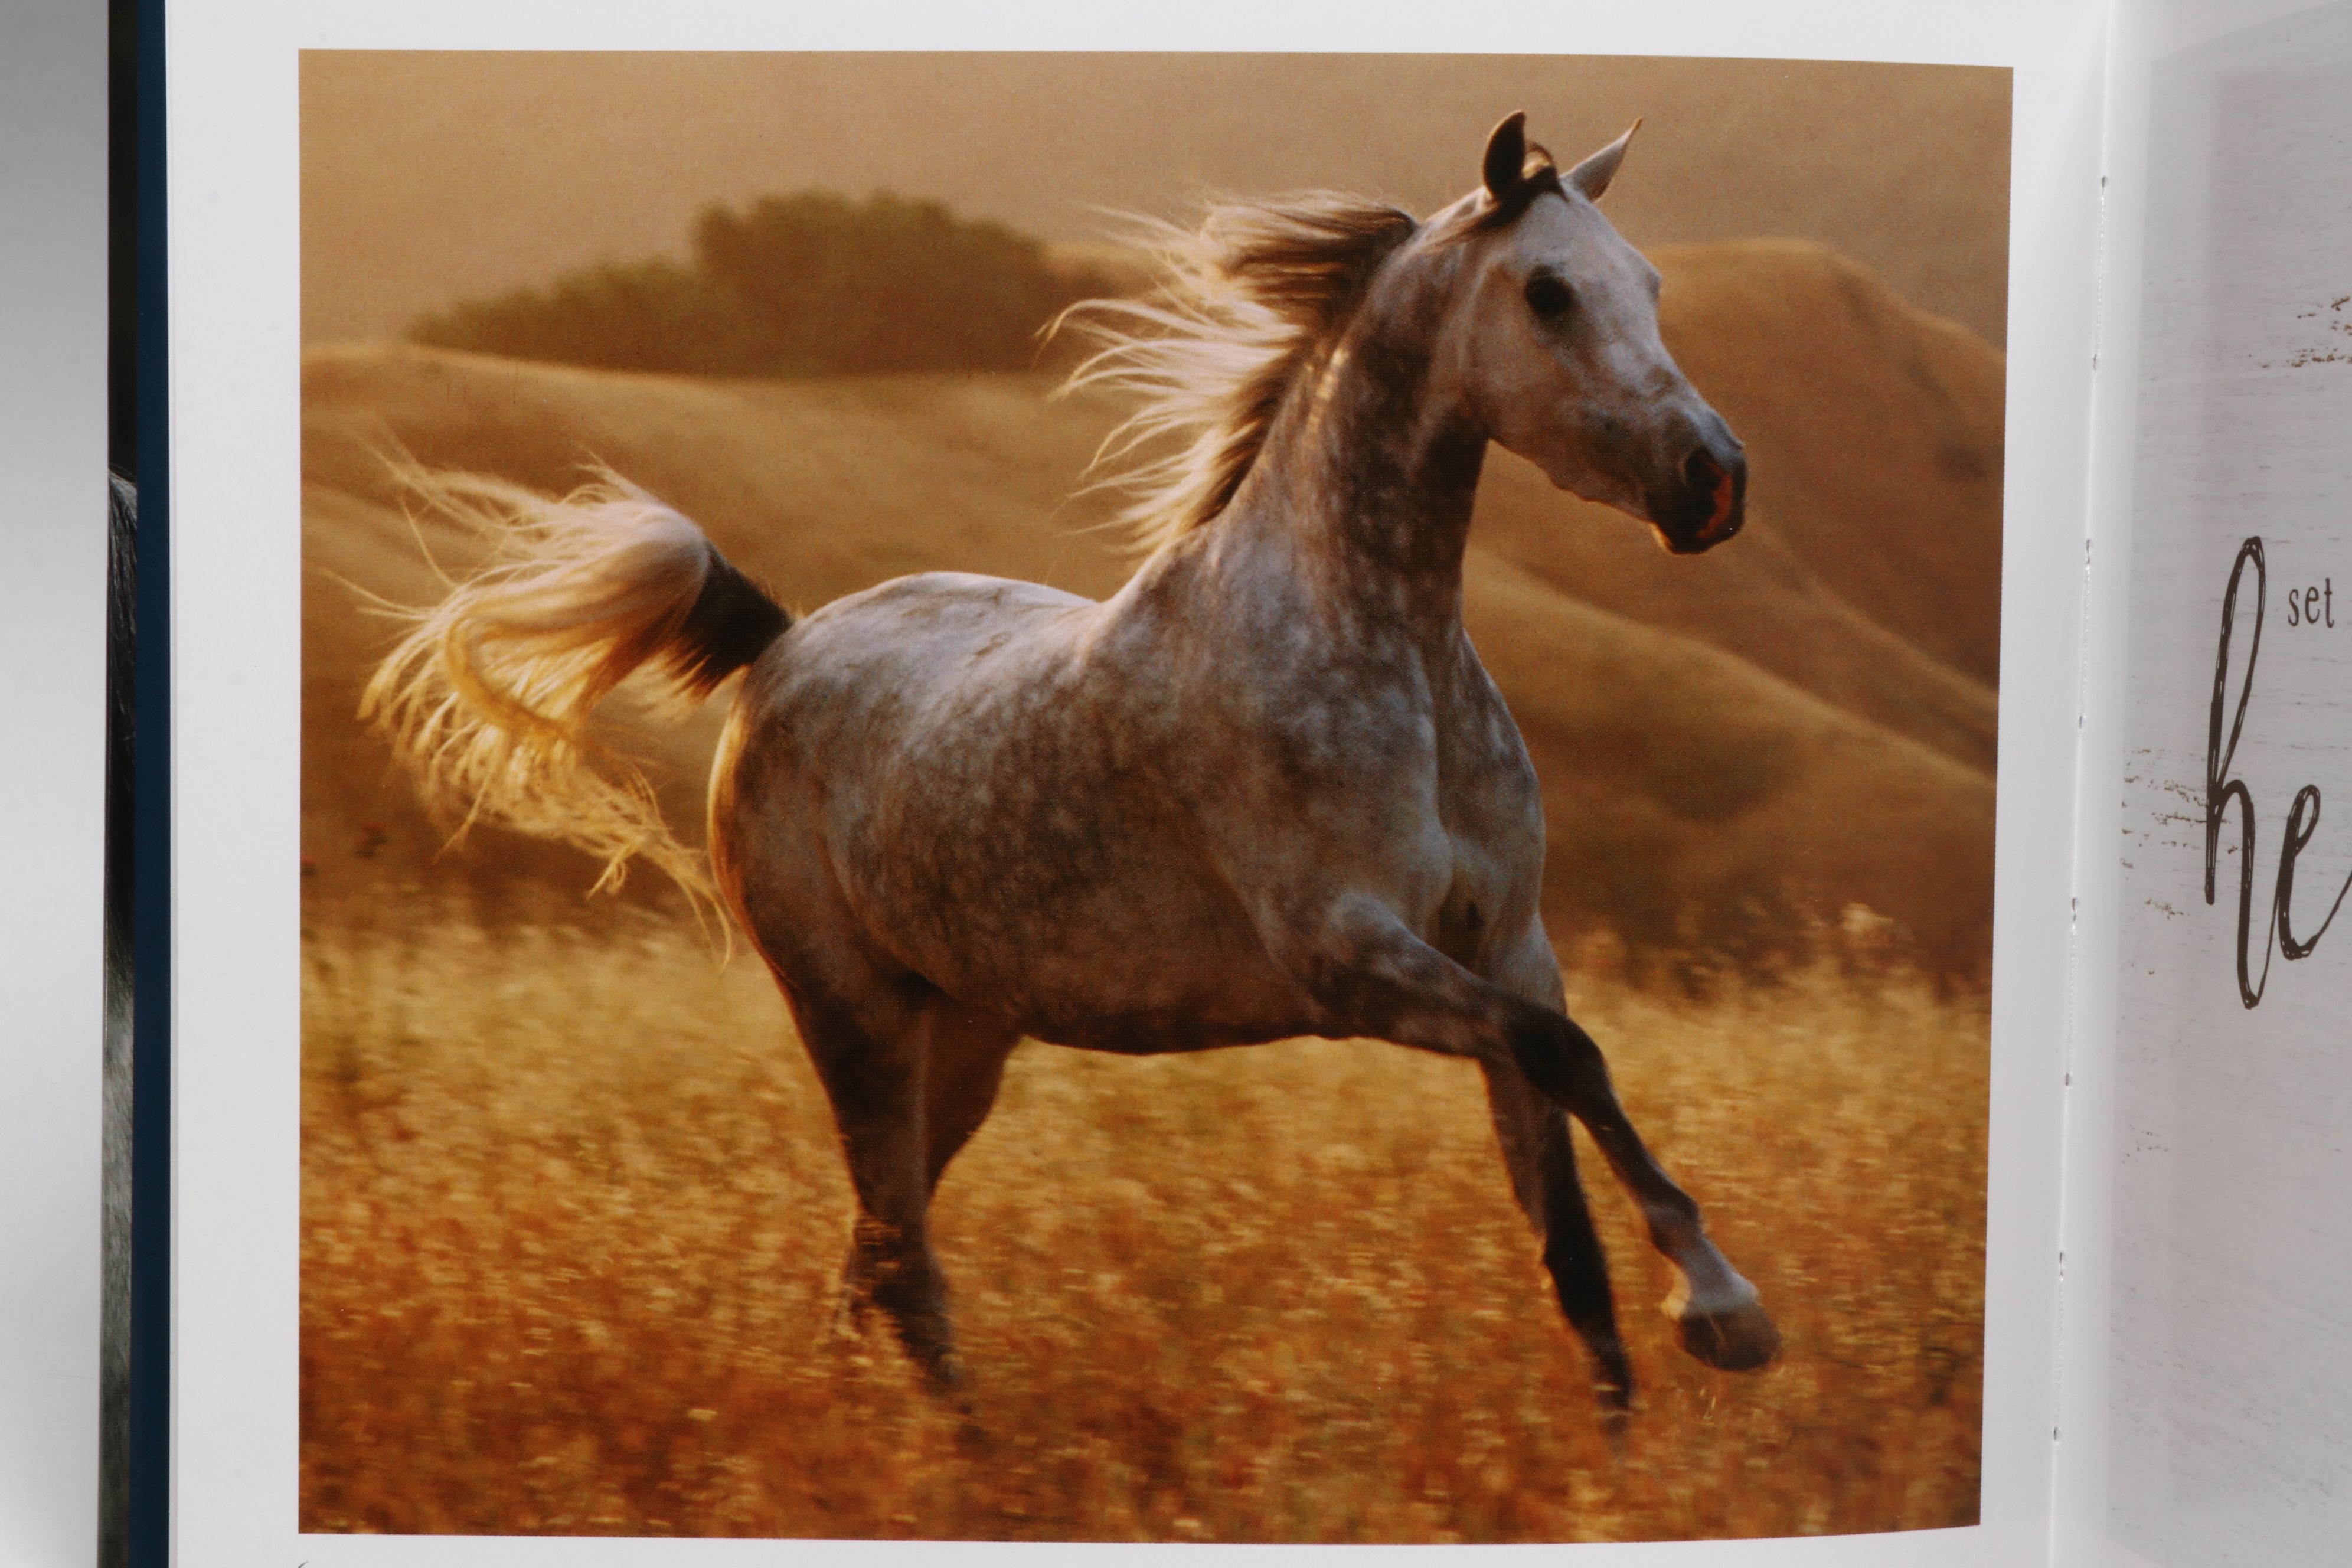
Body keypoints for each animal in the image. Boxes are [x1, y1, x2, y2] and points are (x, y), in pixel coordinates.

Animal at [364, 111, 1779, 1422]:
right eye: (1547, 291)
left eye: (1648, 282)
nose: (1712, 479)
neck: (1379, 652)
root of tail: (780, 645)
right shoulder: (1347, 954)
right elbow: (1568, 1056)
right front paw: (1726, 1312)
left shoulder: (1506, 943)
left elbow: (1569, 1230)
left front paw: (1623, 1444)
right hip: (850, 1014)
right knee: (902, 1263)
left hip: (963, 1036)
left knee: (874, 1251)